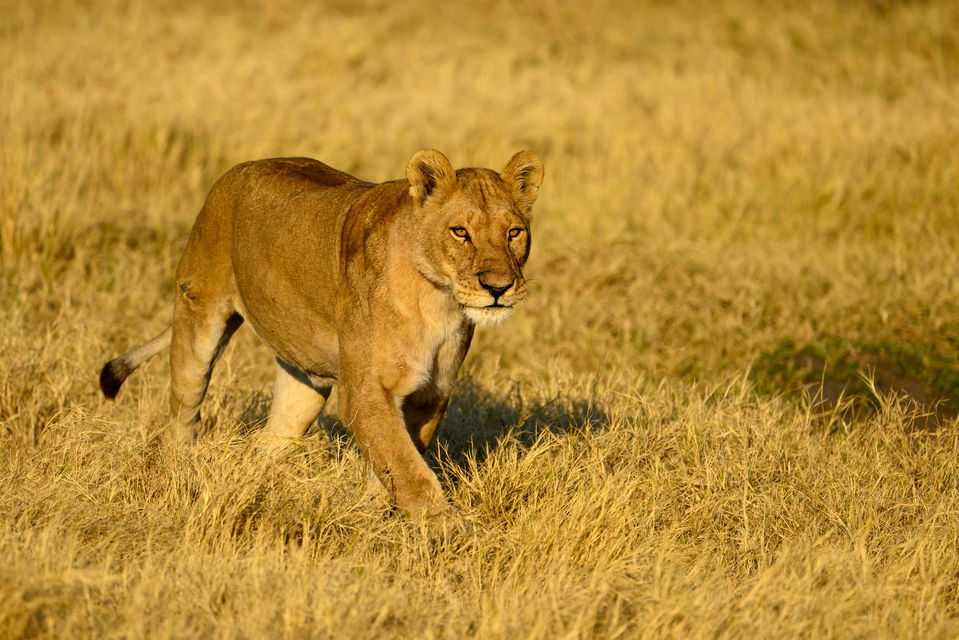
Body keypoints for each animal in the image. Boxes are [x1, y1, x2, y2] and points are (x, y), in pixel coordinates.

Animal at [99, 149, 544, 514]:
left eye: (514, 233)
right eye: (460, 232)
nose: (499, 287)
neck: (439, 302)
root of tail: (238, 169)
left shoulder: (431, 394)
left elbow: (394, 464)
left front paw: (372, 520)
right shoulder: (363, 392)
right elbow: (409, 470)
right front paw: (447, 532)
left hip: (303, 380)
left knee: (266, 444)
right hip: (198, 321)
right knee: (182, 419)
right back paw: (177, 479)